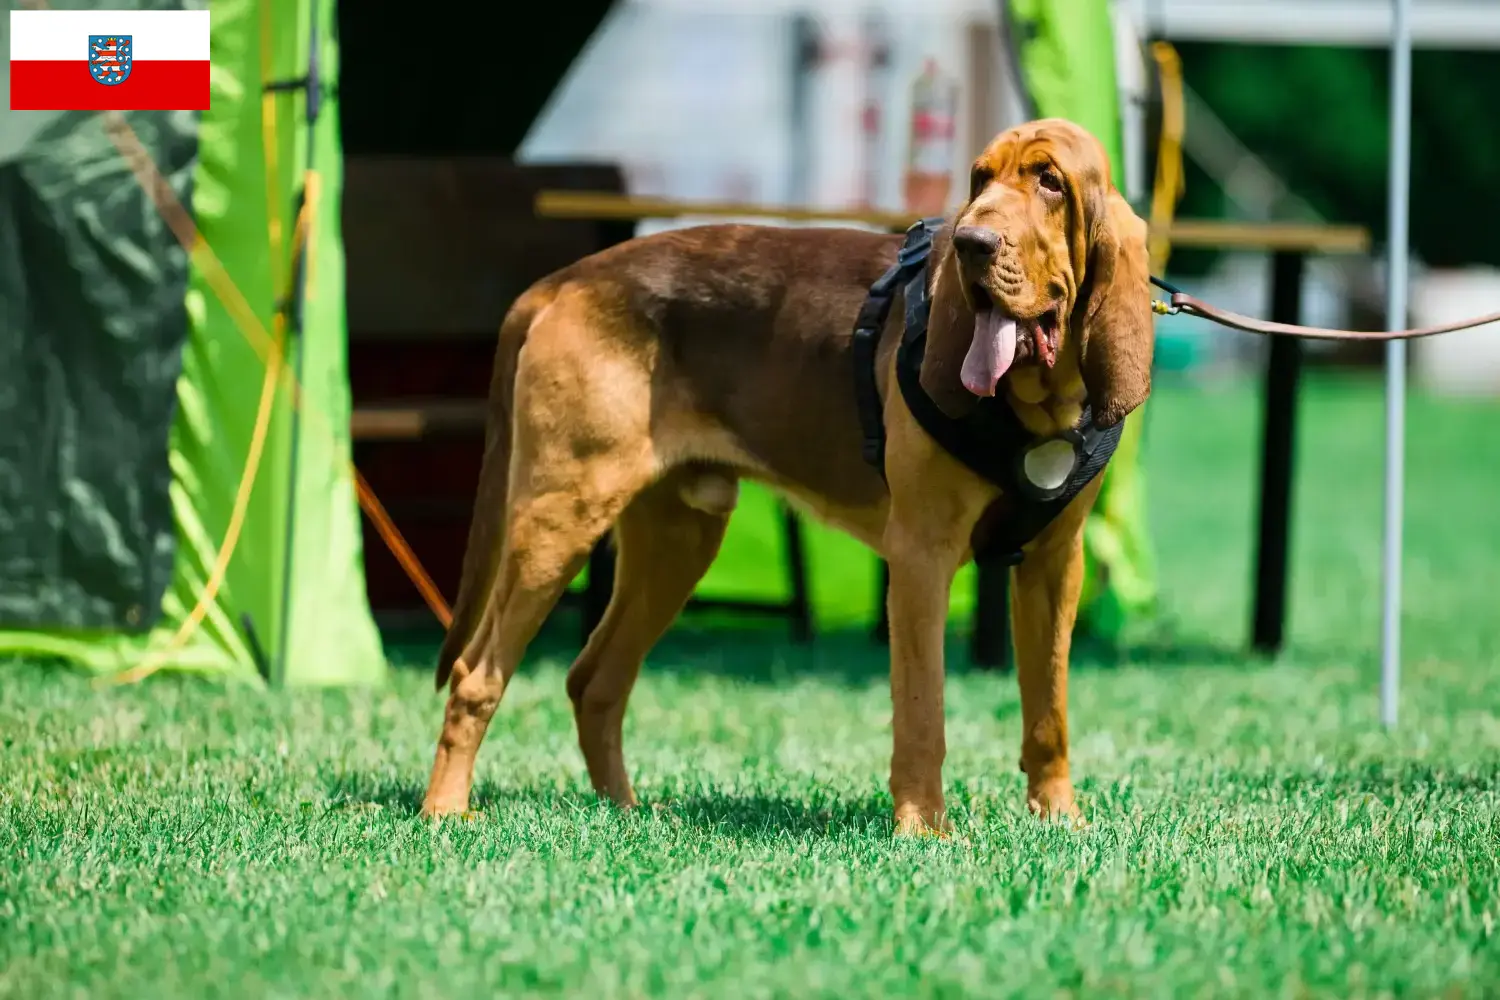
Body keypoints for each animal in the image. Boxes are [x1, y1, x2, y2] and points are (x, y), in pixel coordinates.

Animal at [417, 117, 1152, 839]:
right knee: (477, 674)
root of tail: (565, 280)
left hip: (678, 539)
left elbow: (1048, 707)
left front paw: (1060, 817)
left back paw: (621, 811)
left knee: (594, 679)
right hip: (559, 517)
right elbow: (923, 708)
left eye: (1050, 181)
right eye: (980, 179)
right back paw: (445, 809)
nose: (970, 242)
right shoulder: (922, 556)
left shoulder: (1055, 564)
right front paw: (922, 829)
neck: (1036, 404)